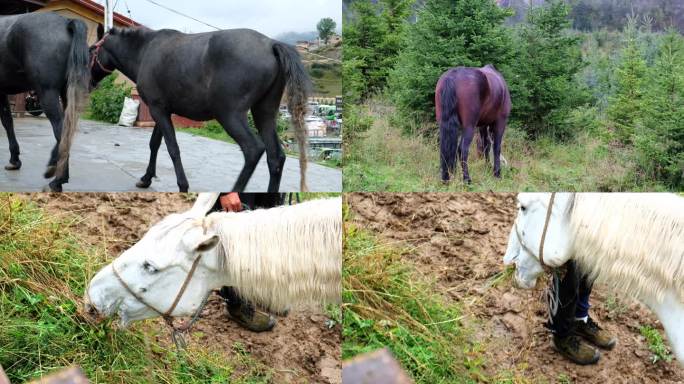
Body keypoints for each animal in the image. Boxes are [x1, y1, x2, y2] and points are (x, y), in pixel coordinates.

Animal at [0, 12, 89, 191]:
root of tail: (66, 22)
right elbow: (8, 122)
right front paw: (15, 160)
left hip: (48, 93)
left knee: (61, 129)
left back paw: (58, 179)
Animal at [87, 25, 310, 192]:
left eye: (90, 51)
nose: (88, 82)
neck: (144, 51)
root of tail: (271, 44)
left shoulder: (157, 110)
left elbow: (172, 148)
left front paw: (183, 186)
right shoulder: (162, 110)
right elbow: (155, 144)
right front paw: (146, 178)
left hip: (230, 115)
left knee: (253, 150)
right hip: (264, 113)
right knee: (275, 157)